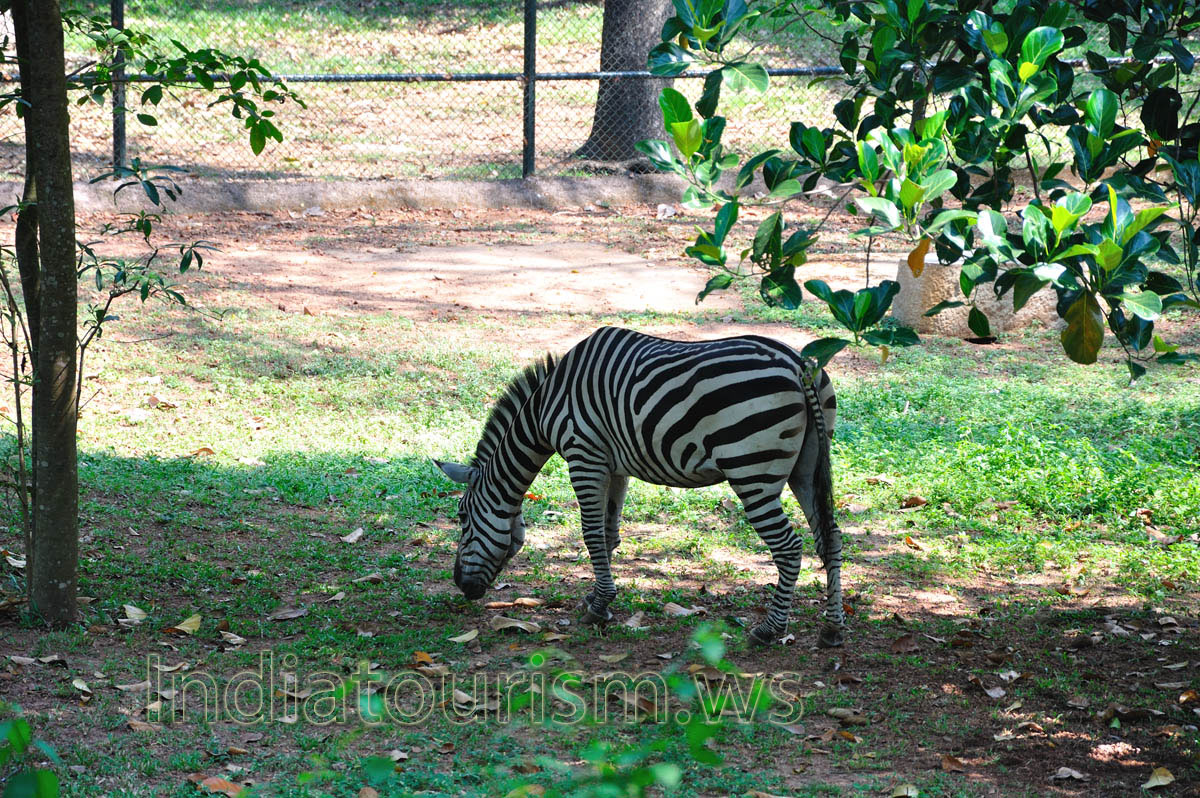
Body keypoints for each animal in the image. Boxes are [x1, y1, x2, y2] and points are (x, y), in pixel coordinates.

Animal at [435, 326, 846, 647]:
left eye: (462, 518)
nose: (460, 585)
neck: (543, 409)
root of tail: (796, 364)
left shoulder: (584, 455)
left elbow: (591, 534)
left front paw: (599, 608)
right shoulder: (615, 466)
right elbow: (609, 533)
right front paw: (597, 599)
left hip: (752, 472)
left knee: (789, 546)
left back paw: (769, 630)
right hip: (807, 468)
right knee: (830, 537)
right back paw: (832, 628)